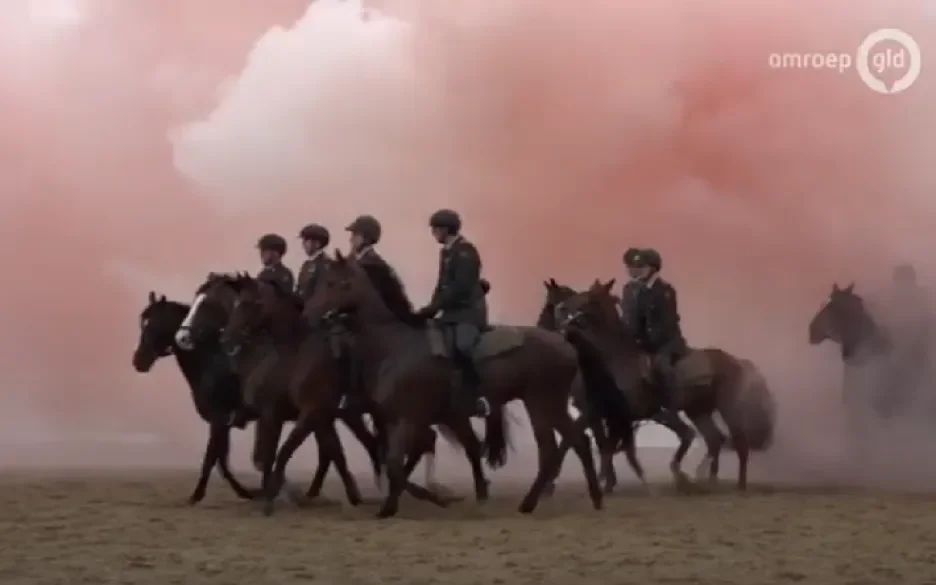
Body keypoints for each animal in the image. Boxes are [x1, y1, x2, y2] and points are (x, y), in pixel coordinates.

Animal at [132, 290, 256, 502]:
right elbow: (221, 459)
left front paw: (197, 494)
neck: (210, 362)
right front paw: (245, 491)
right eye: (143, 322)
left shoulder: (218, 418)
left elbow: (212, 457)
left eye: (155, 323)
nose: (139, 361)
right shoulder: (221, 422)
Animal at [174, 272, 382, 500]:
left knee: (368, 445)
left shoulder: (251, 415)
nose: (182, 337)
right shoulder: (274, 416)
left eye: (208, 303)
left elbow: (248, 455)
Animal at [304, 251, 604, 516]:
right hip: (550, 406)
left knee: (552, 450)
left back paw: (530, 503)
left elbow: (395, 463)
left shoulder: (407, 418)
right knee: (579, 442)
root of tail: (564, 341)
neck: (396, 344)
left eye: (333, 283)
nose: (310, 312)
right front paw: (398, 502)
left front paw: (415, 501)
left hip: (541, 404)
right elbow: (396, 461)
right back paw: (594, 498)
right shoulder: (403, 417)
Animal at [556, 278, 776, 488]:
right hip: (697, 411)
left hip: (727, 409)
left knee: (739, 443)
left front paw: (677, 476)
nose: (562, 308)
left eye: (590, 297)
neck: (619, 360)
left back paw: (737, 484)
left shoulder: (649, 413)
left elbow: (683, 436)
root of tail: (735, 361)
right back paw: (709, 479)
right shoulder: (609, 414)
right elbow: (604, 446)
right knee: (715, 439)